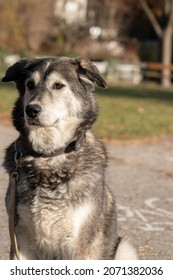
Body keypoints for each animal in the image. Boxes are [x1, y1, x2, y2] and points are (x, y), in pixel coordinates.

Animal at [1, 55, 138, 260]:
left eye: (58, 85)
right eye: (30, 85)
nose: (31, 110)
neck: (49, 157)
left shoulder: (78, 245)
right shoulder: (19, 236)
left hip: (124, 248)